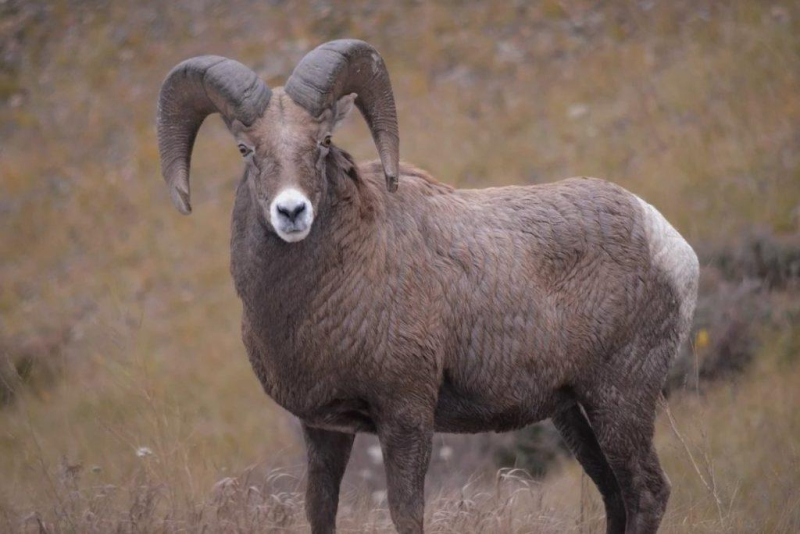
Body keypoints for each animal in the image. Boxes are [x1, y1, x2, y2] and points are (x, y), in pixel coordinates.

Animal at [156, 38, 700, 534]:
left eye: (323, 142)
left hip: (619, 399)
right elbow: (320, 513)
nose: (292, 211)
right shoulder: (323, 428)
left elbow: (406, 514)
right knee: (615, 495)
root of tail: (668, 242)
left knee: (646, 493)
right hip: (574, 412)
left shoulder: (406, 415)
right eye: (246, 149)